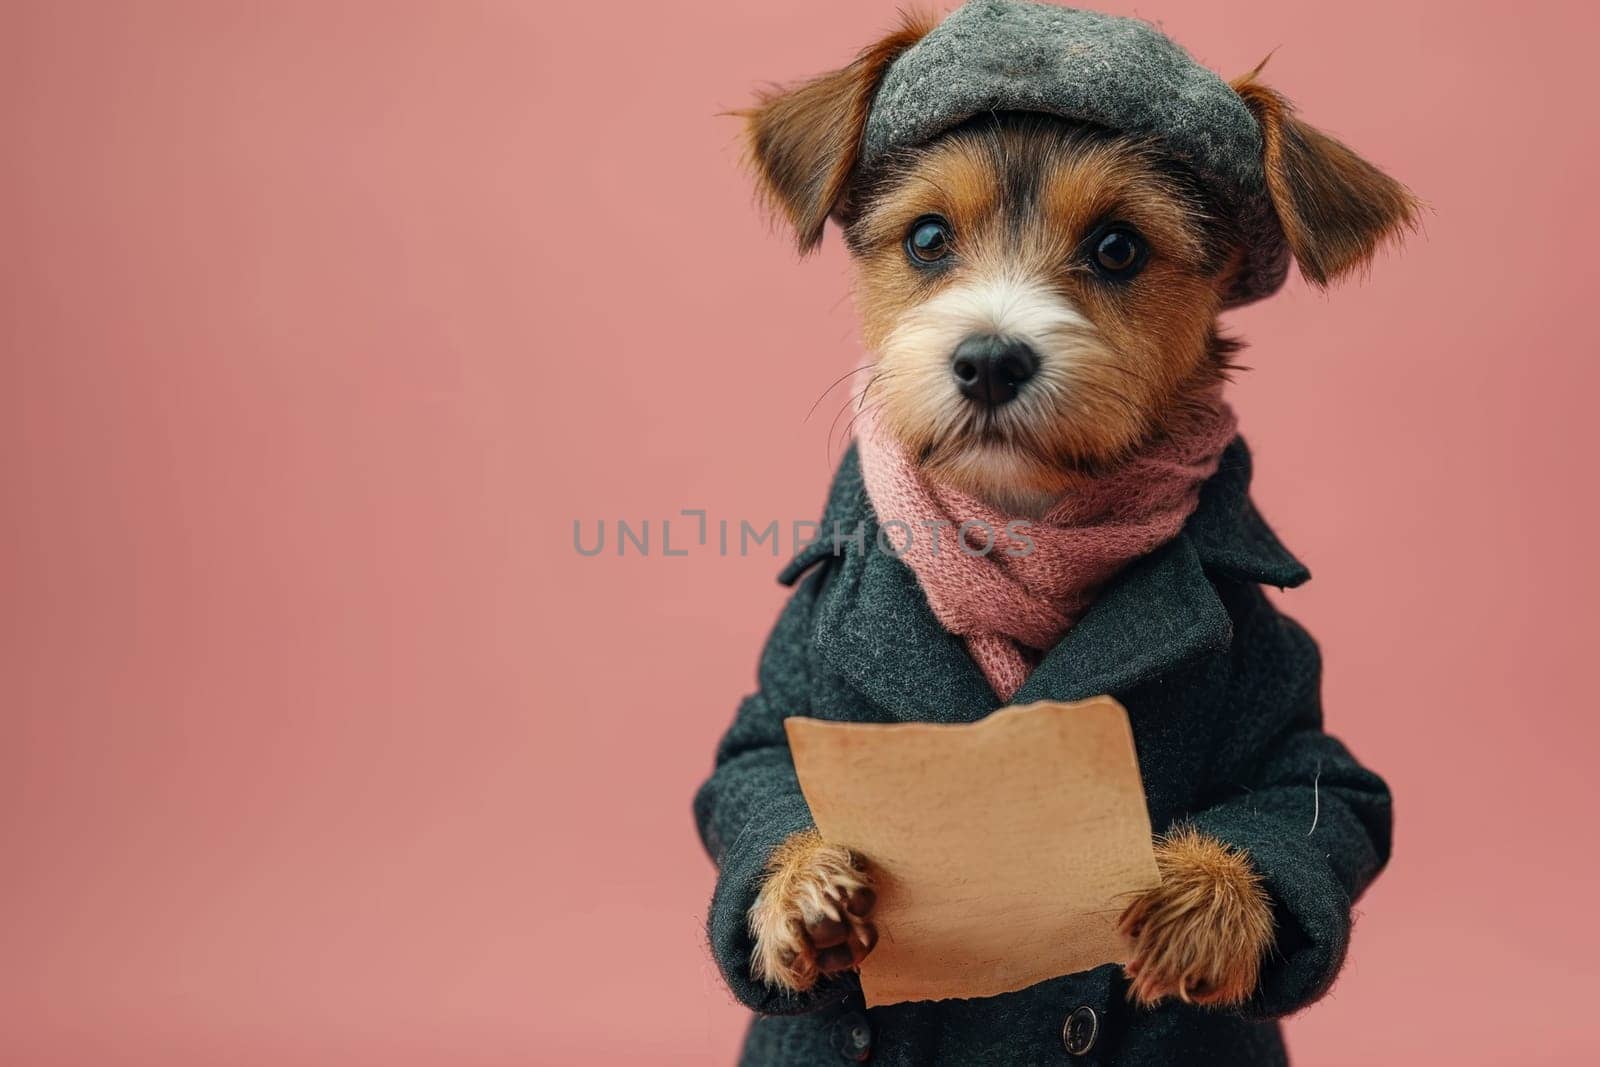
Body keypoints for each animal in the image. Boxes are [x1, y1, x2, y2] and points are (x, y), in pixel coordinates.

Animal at [700, 4, 1414, 1062]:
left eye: (1119, 248)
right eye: (927, 238)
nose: (991, 359)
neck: (1025, 529)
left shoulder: (1296, 721)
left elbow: (1322, 802)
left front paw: (1204, 907)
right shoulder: (779, 697)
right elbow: (748, 775)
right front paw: (803, 890)